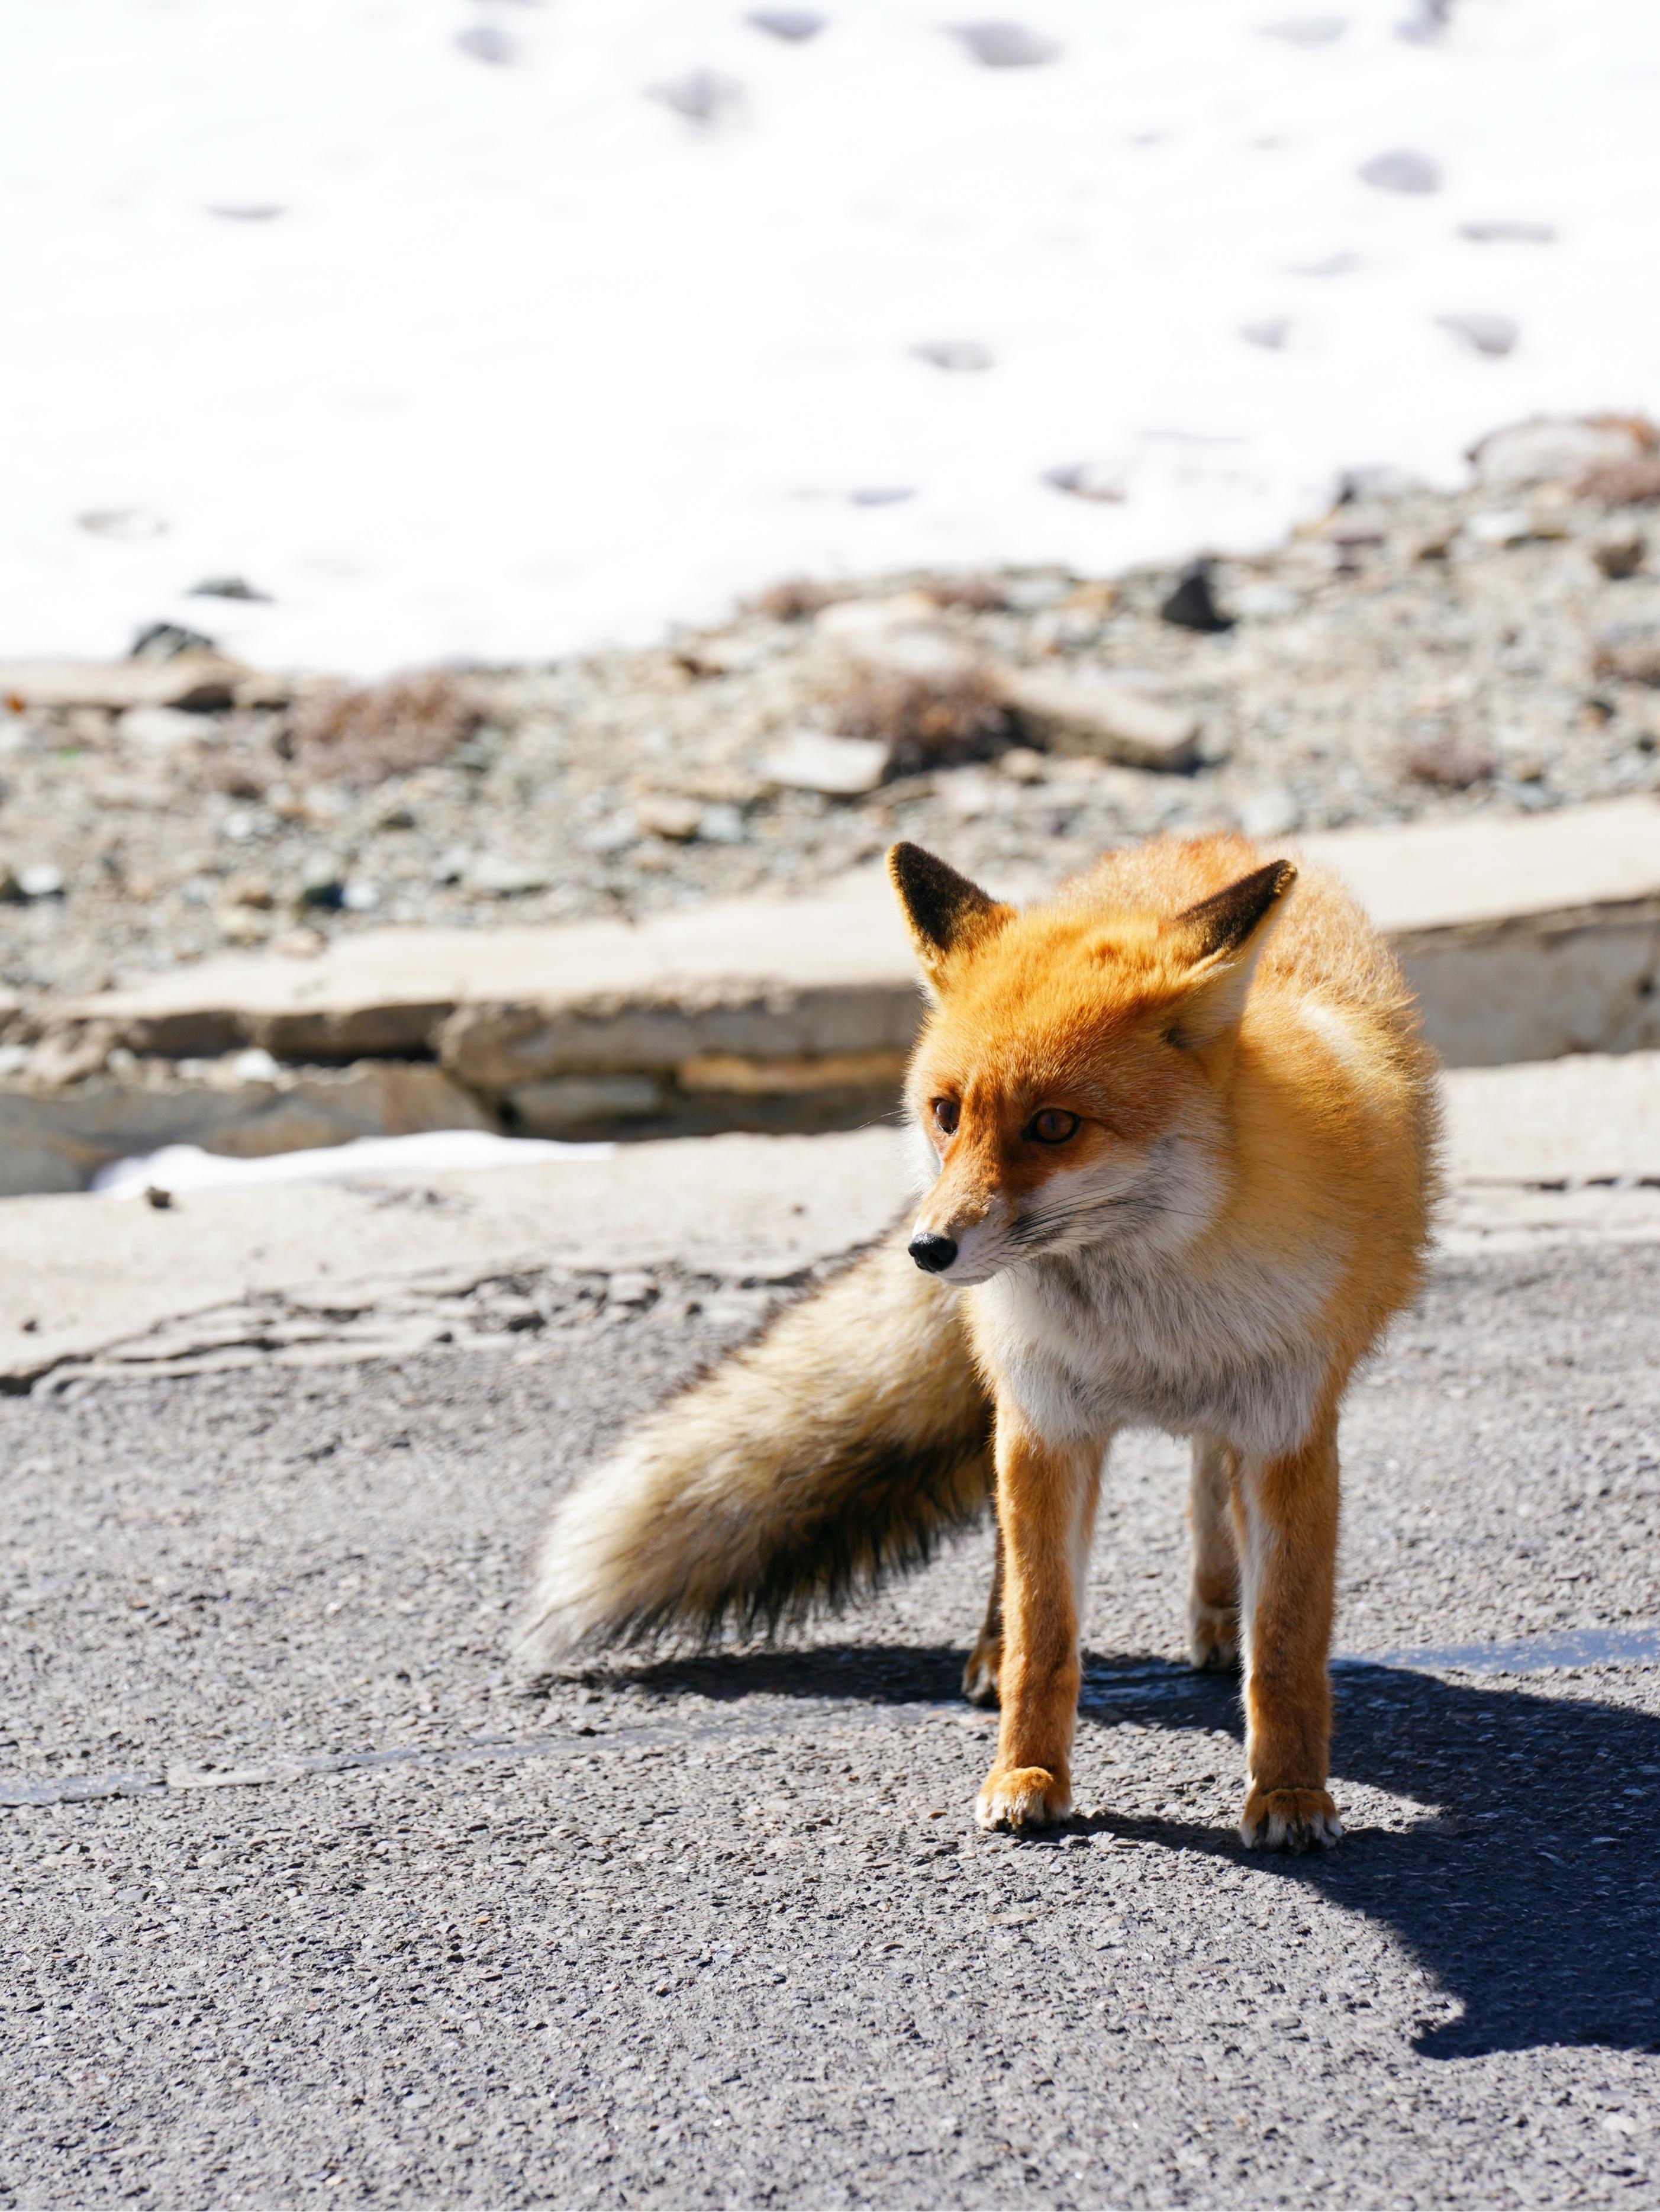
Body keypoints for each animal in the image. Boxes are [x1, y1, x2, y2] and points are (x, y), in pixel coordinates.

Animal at [521, 832, 1441, 1849]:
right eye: (947, 1112)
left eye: (1054, 1126)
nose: (927, 1249)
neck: (1151, 1328)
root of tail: (1201, 840)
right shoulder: (1045, 1424)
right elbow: (1048, 1636)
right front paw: (1027, 1772)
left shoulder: (1289, 1432)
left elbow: (1284, 1649)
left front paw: (1288, 1793)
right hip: (1017, 1415)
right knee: (1022, 1560)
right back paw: (999, 1655)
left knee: (1210, 1483)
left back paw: (1215, 1611)